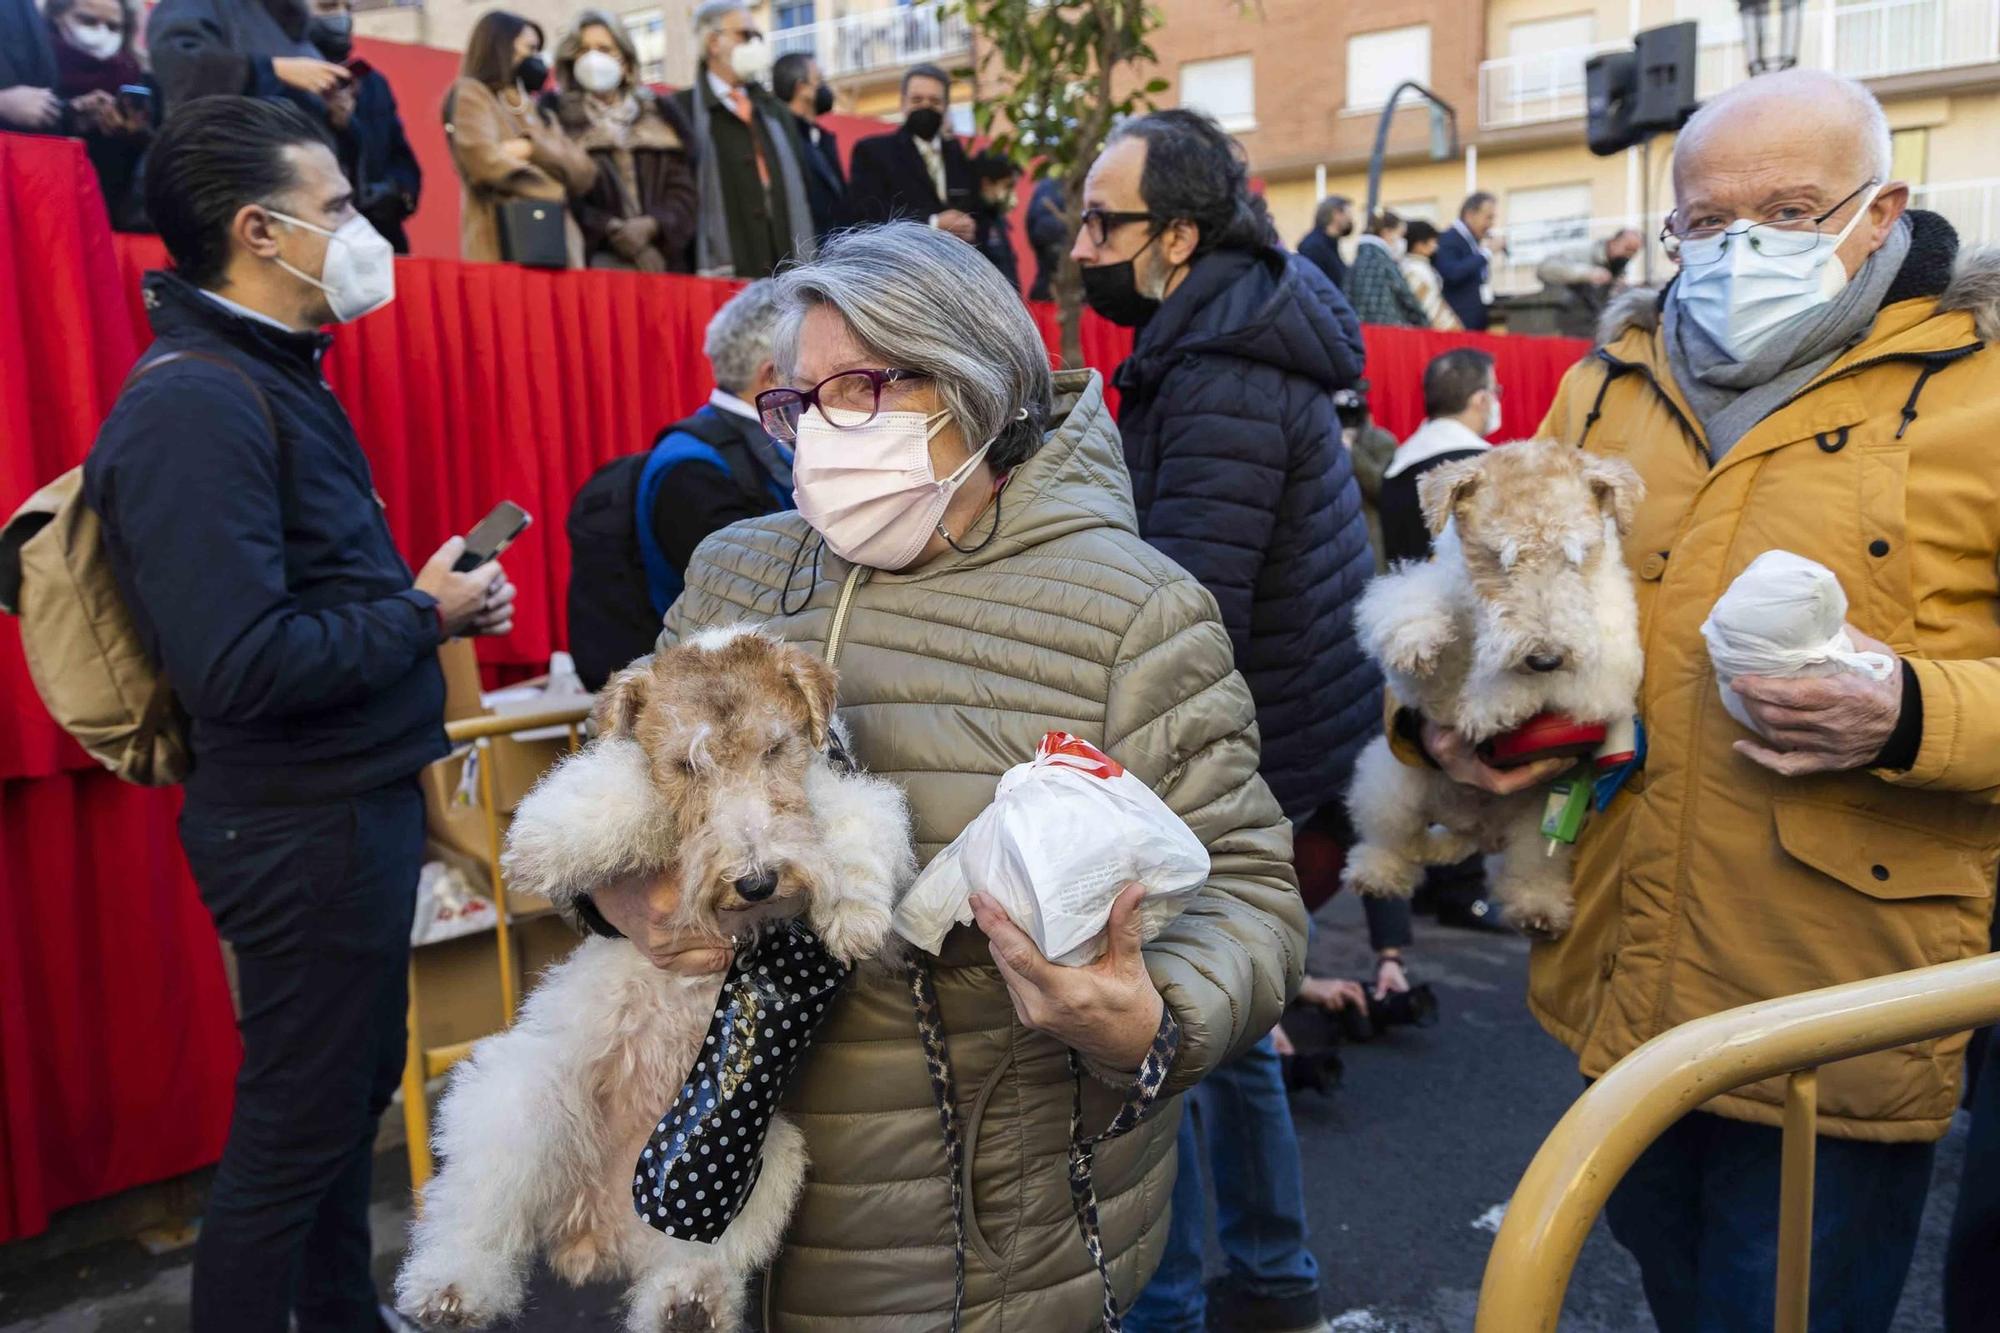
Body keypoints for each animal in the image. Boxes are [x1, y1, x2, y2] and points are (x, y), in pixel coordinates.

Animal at [392, 624, 920, 1328]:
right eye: (685, 765)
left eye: (775, 748)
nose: (757, 881)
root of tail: (595, 1229)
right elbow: (626, 780)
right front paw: (546, 842)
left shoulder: (833, 785)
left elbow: (860, 815)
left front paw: (855, 911)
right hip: (518, 1101)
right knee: (477, 1216)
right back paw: (450, 1290)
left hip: (762, 1162)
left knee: (693, 1257)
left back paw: (686, 1304)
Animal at [1344, 436, 1640, 932]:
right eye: (1502, 559)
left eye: (1574, 557)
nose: (1545, 656)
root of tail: (1473, 831)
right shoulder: (1432, 658)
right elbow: (1416, 616)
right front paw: (1420, 641)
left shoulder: (1606, 673)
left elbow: (1531, 687)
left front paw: (1487, 707)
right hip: (1393, 784)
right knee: (1391, 843)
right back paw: (1377, 875)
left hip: (1539, 827)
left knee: (1528, 869)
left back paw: (1538, 908)